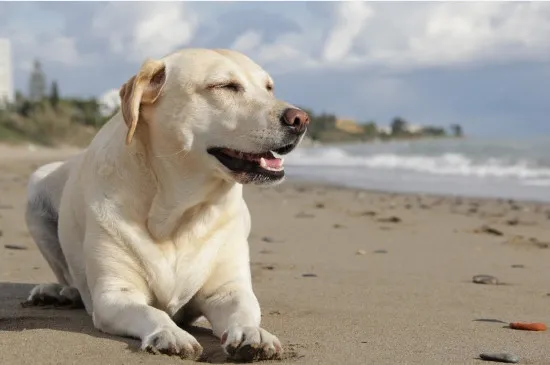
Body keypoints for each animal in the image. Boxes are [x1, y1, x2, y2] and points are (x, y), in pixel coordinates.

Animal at [23, 48, 310, 362]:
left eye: (269, 88)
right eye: (225, 86)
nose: (301, 119)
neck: (178, 212)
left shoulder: (228, 289)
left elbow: (245, 310)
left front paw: (252, 333)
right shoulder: (114, 294)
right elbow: (151, 312)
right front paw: (170, 333)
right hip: (36, 187)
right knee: (68, 276)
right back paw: (59, 293)